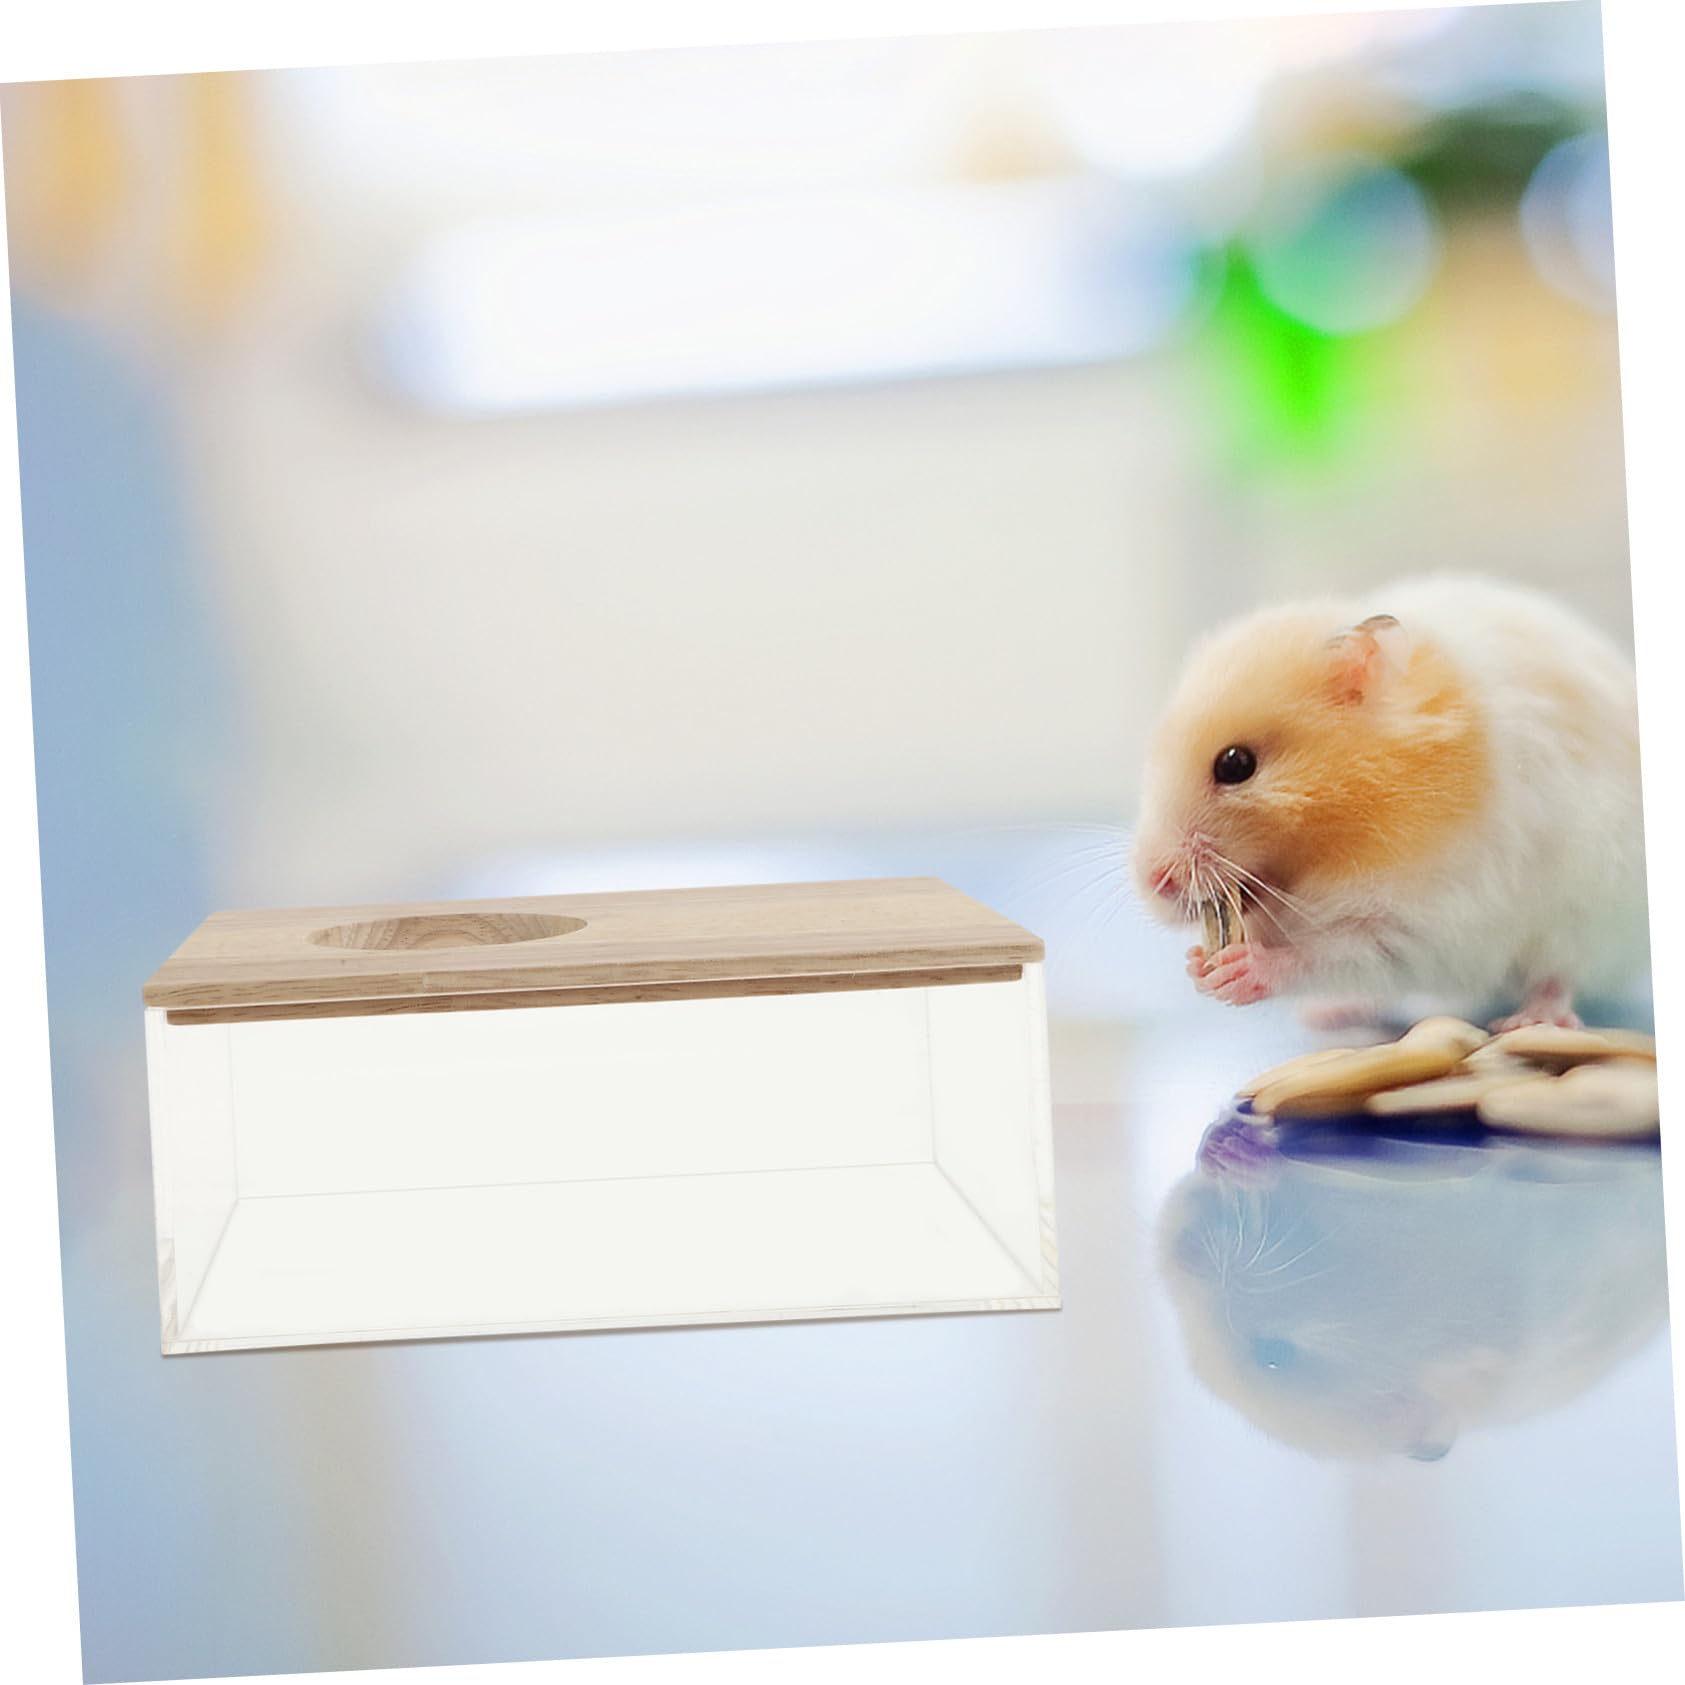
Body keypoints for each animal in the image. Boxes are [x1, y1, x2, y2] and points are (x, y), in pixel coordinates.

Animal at [1131, 575, 1648, 1027]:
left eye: (1236, 764)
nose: (1155, 882)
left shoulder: (1433, 919)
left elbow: (1335, 955)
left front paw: (1237, 970)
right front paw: (1196, 966)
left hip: (1586, 919)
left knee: (1558, 977)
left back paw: (1530, 1022)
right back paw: (1326, 1014)